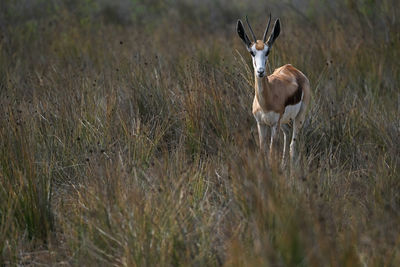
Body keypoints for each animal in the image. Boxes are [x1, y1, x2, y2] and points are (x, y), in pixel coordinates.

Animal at [236, 15, 310, 168]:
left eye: (267, 51)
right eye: (252, 52)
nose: (260, 71)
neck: (266, 101)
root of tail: (293, 69)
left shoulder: (274, 124)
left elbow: (270, 153)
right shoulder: (261, 124)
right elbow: (262, 151)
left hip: (299, 117)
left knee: (292, 146)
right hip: (284, 123)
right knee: (287, 136)